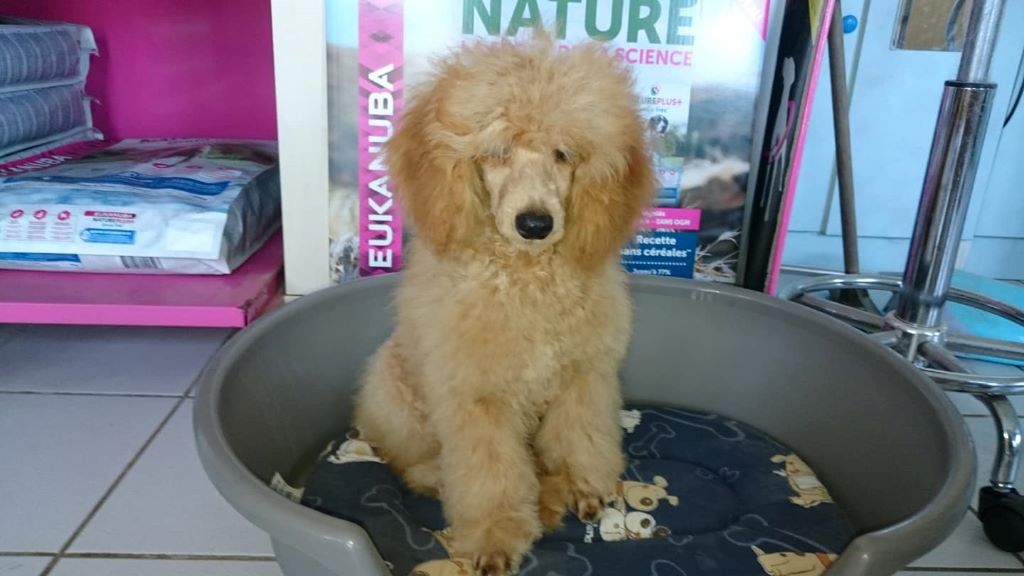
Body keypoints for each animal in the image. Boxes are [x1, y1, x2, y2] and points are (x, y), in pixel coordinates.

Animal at [353, 33, 655, 576]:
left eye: (563, 154)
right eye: (497, 152)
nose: (534, 223)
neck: (526, 279)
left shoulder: (584, 377)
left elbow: (582, 437)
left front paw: (581, 485)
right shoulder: (477, 399)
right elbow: (490, 477)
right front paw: (496, 538)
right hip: (395, 395)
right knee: (410, 462)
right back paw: (438, 479)